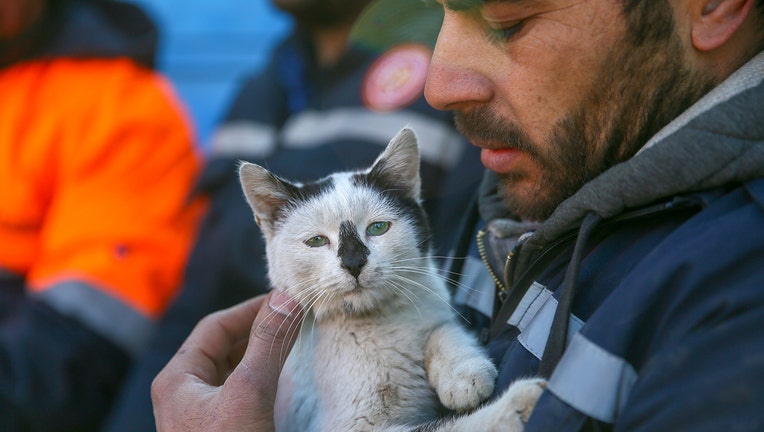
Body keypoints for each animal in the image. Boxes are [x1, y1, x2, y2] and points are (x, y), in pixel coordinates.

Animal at [239, 127, 544, 432]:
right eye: (316, 241)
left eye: (378, 227)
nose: (354, 263)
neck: (372, 323)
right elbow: (450, 427)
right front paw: (518, 404)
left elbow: (441, 328)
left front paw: (463, 373)